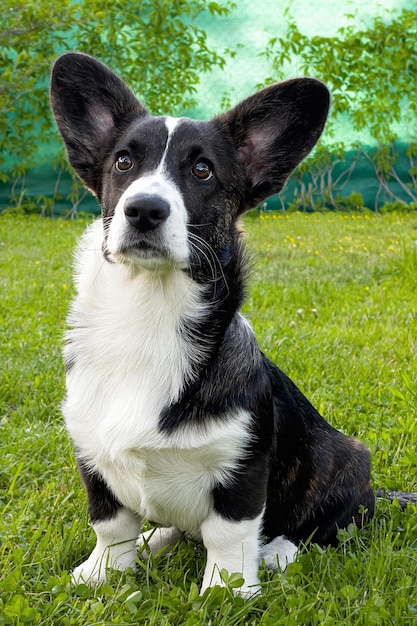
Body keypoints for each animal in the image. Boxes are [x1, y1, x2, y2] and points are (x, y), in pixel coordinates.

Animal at [49, 53, 374, 596]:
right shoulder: (91, 452)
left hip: (349, 460)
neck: (148, 315)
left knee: (323, 524)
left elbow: (229, 533)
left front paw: (226, 592)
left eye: (202, 170)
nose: (144, 210)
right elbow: (110, 523)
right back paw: (155, 539)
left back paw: (278, 552)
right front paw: (101, 574)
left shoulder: (242, 467)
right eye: (123, 162)